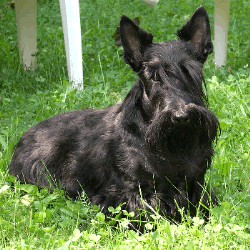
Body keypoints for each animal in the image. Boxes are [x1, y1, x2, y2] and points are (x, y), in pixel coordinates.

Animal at [9, 5, 219, 225]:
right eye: (154, 77)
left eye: (190, 72)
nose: (181, 116)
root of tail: (23, 137)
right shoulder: (128, 195)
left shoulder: (196, 185)